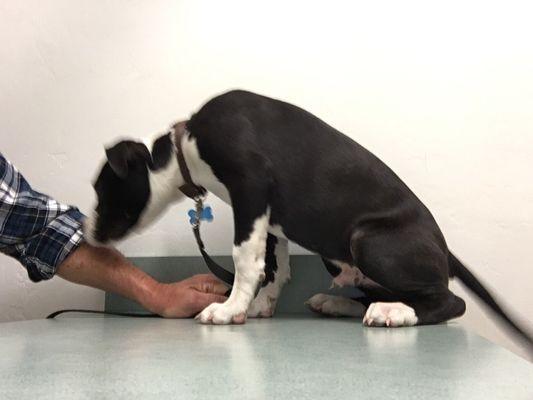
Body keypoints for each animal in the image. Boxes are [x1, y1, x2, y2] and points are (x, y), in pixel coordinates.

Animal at [83, 89, 532, 346]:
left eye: (101, 190)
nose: (85, 232)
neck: (183, 146)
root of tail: (446, 250)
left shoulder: (250, 187)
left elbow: (244, 260)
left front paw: (229, 309)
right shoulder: (267, 215)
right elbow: (273, 266)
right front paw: (259, 305)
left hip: (367, 240)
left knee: (448, 302)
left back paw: (395, 313)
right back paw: (341, 304)